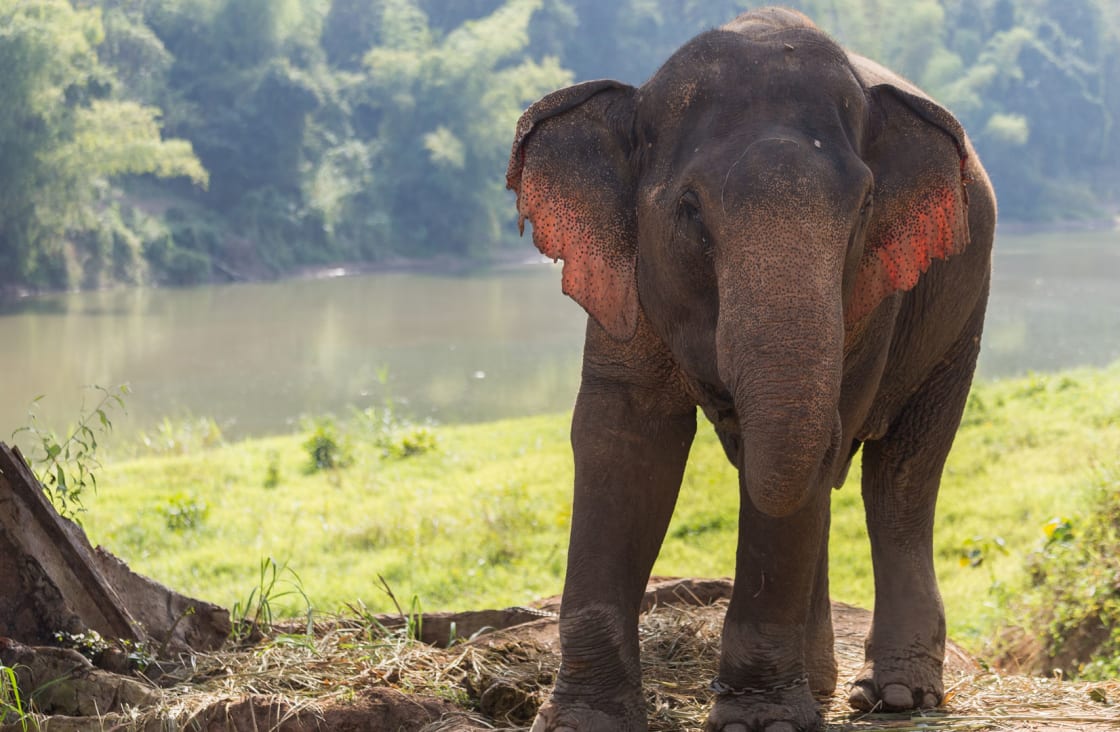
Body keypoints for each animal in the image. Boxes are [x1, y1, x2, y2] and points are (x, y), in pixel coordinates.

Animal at [508, 7, 999, 732]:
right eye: (689, 210)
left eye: (863, 209)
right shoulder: (622, 282)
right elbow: (623, 438)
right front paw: (582, 721)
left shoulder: (875, 291)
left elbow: (804, 467)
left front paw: (761, 721)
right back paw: (822, 686)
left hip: (961, 308)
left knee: (902, 476)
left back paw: (895, 695)